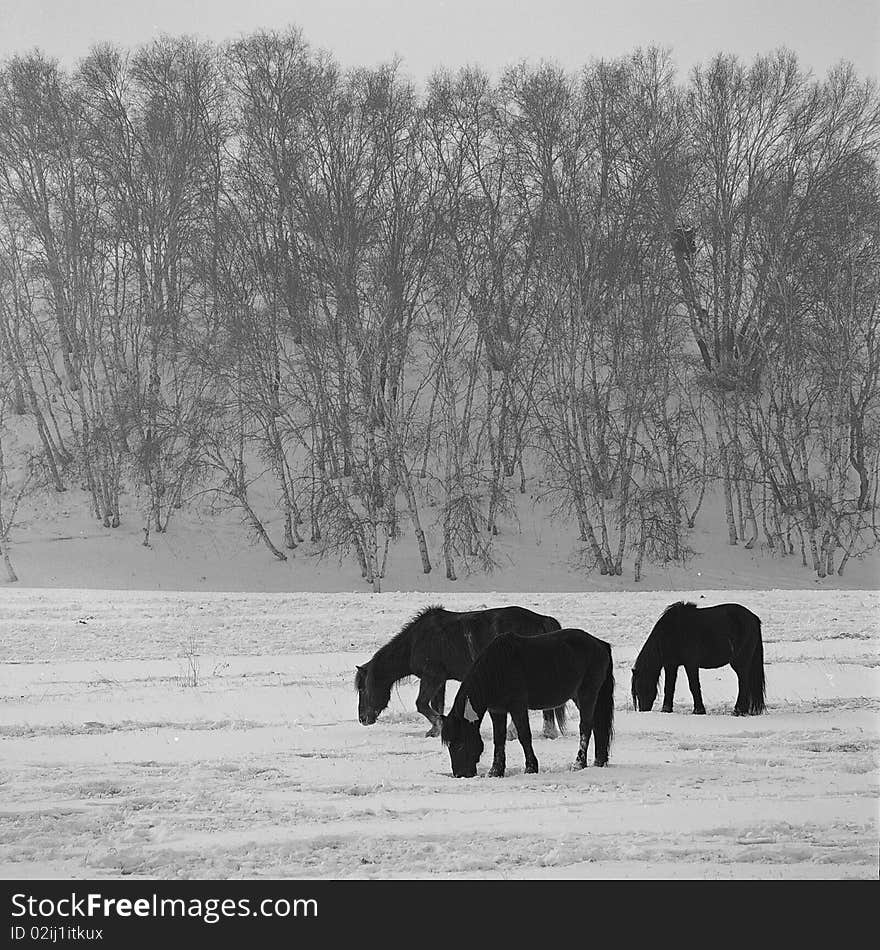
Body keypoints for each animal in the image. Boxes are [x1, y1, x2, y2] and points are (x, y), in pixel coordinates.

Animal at [354, 608, 568, 740]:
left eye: (363, 689)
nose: (363, 719)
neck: (417, 641)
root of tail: (541, 620)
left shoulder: (432, 677)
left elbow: (421, 704)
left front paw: (439, 725)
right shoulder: (439, 680)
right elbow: (435, 705)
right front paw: (434, 730)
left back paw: (526, 732)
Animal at [438, 628, 612, 776]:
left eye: (460, 744)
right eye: (449, 745)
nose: (460, 774)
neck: (498, 668)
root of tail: (601, 644)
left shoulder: (518, 707)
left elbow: (524, 735)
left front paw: (531, 767)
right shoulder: (497, 711)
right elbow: (498, 738)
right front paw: (495, 771)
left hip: (587, 694)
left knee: (586, 727)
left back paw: (579, 764)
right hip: (581, 697)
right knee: (597, 726)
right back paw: (599, 761)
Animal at [632, 604, 764, 712]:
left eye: (641, 687)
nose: (643, 710)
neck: (672, 632)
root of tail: (753, 618)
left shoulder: (691, 664)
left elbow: (694, 686)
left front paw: (699, 710)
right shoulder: (671, 665)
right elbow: (669, 687)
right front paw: (666, 709)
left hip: (740, 662)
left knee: (743, 682)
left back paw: (739, 710)